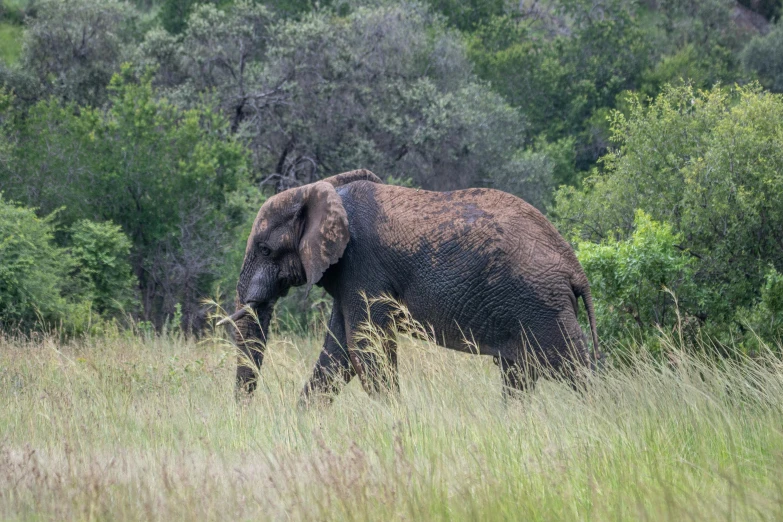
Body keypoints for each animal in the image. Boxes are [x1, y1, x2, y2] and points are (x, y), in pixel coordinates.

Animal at [220, 169, 600, 400]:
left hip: (541, 304)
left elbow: (365, 349)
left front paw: (395, 419)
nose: (246, 415)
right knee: (519, 375)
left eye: (265, 249)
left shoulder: (362, 264)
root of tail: (575, 267)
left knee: (576, 367)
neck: (323, 189)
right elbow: (339, 353)